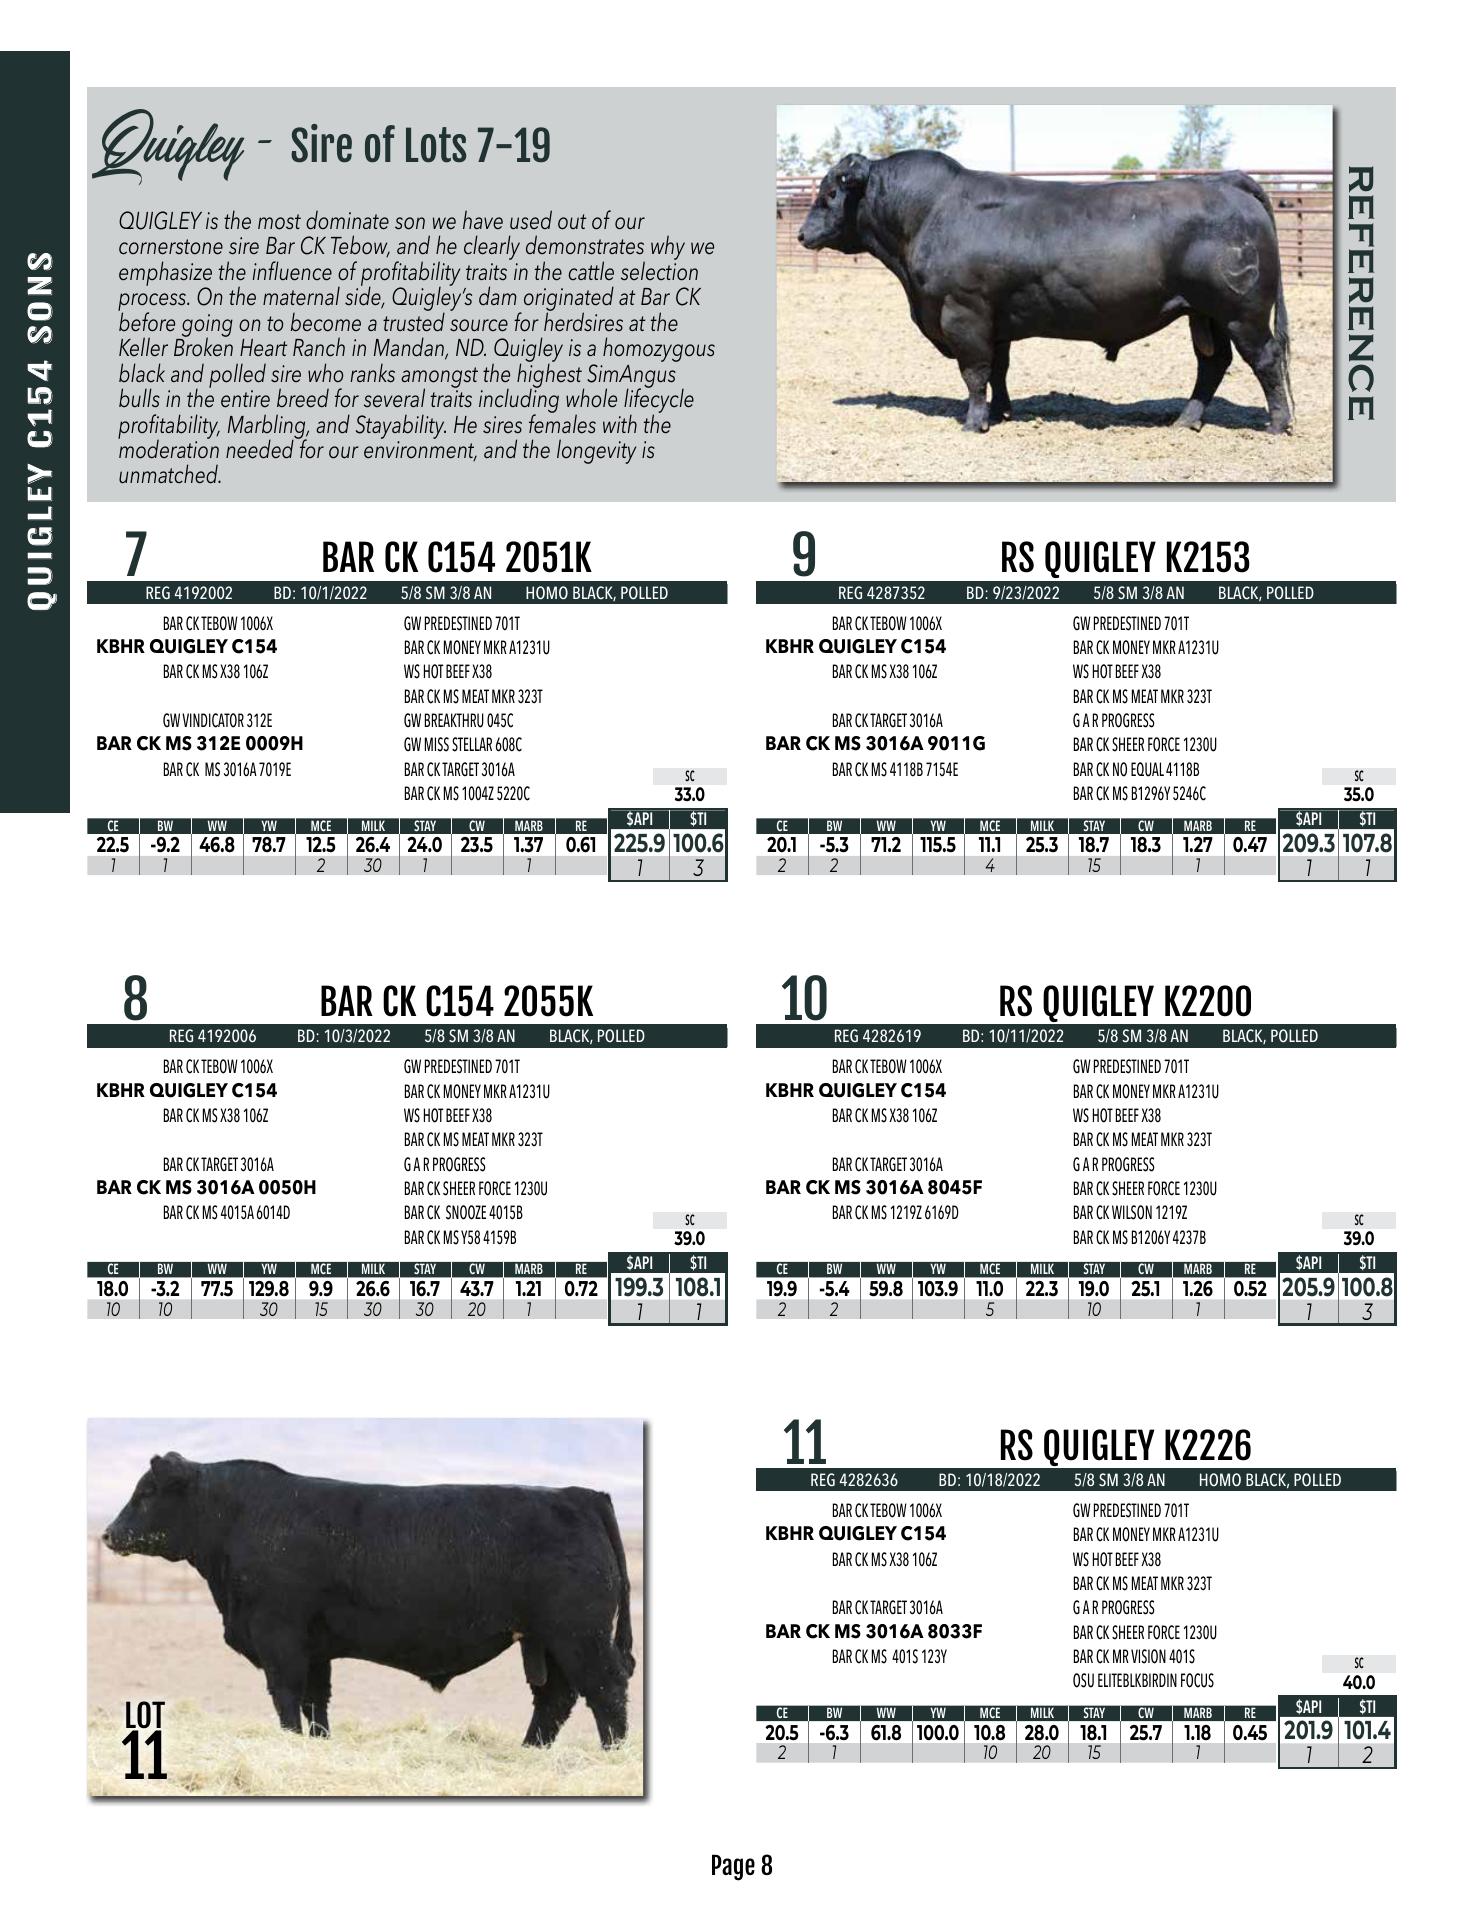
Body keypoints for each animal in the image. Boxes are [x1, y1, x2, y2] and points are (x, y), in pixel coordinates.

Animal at [102, 1453, 635, 1746]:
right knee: (556, 1699)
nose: (108, 1533)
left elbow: (286, 1697)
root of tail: (581, 1494)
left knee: (605, 1691)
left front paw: (290, 1742)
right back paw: (528, 1752)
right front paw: (317, 1744)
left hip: (579, 1636)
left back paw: (612, 1756)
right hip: (547, 1641)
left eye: (147, 1492)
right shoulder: (315, 1648)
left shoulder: (279, 1637)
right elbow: (316, 1703)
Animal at [798, 150, 1294, 436]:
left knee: (1265, 360)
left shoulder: (963, 312)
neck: (928, 214)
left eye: (828, 193)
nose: (802, 234)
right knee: (1213, 364)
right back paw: (1186, 420)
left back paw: (1277, 424)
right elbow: (998, 371)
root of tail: (1226, 181)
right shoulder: (994, 320)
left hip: (1242, 312)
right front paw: (1000, 413)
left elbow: (974, 372)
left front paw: (973, 422)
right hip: (1205, 313)